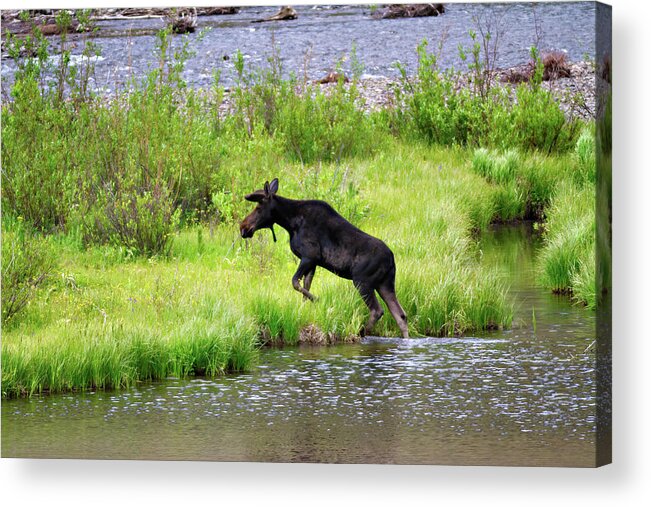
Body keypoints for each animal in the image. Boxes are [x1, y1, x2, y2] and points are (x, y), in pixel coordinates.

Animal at [242, 177, 410, 340]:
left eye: (258, 208)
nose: (243, 227)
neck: (290, 223)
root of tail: (391, 259)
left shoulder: (309, 256)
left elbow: (295, 282)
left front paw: (318, 300)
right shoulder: (312, 263)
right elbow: (304, 288)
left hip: (363, 282)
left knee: (377, 310)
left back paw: (361, 334)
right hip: (385, 284)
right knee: (400, 315)